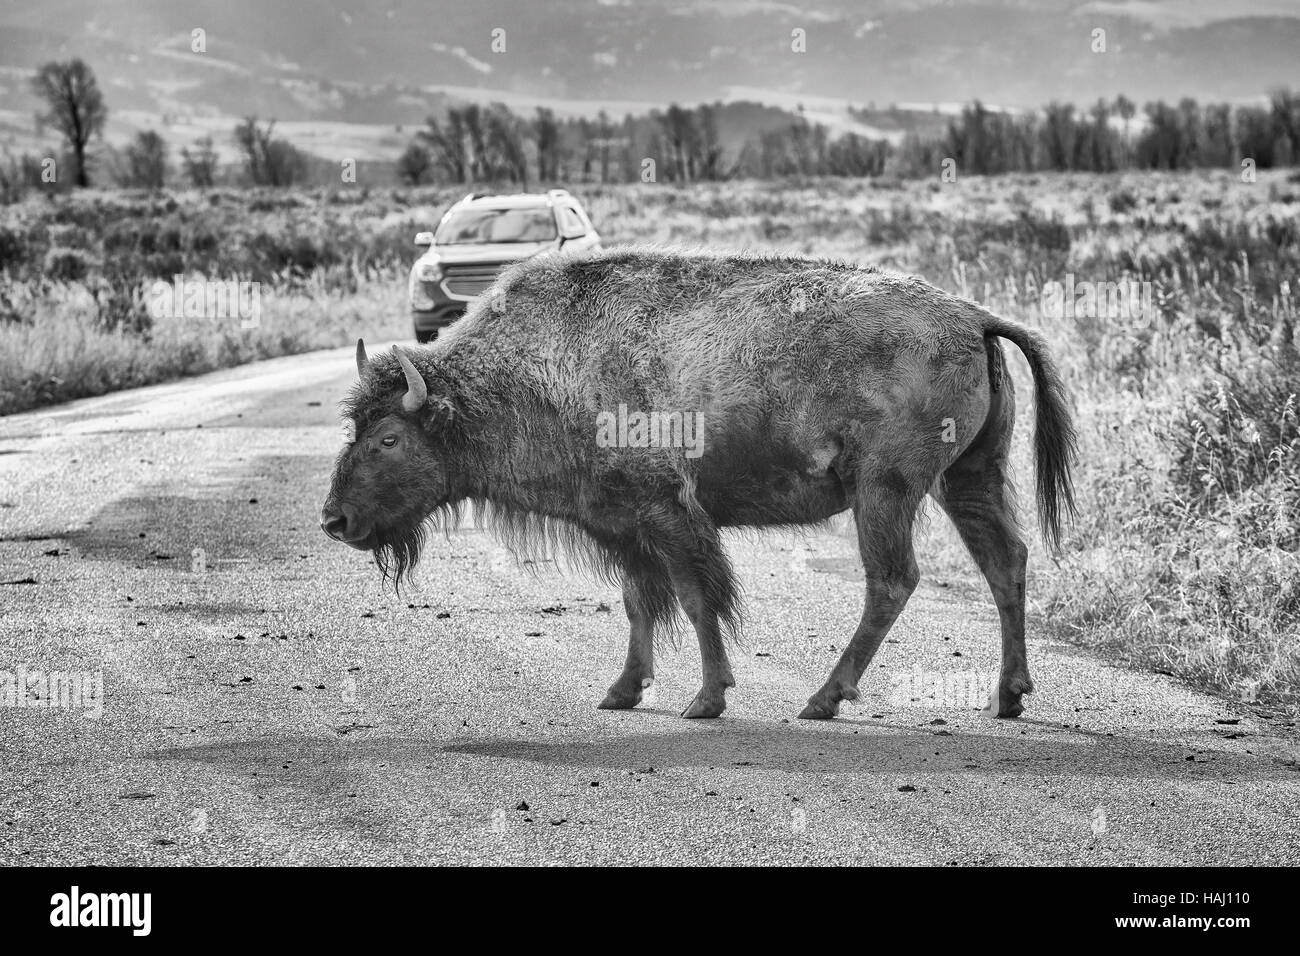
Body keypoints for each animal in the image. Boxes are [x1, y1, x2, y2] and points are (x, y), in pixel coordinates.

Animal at [321, 248, 1076, 720]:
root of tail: (973, 316)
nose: (334, 521)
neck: (541, 370)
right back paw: (1008, 696)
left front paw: (706, 699)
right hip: (967, 478)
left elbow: (694, 598)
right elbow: (639, 603)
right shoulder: (623, 525)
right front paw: (622, 691)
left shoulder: (669, 515)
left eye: (389, 439)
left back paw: (822, 700)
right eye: (352, 428)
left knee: (892, 581)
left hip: (883, 490)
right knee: (1004, 560)